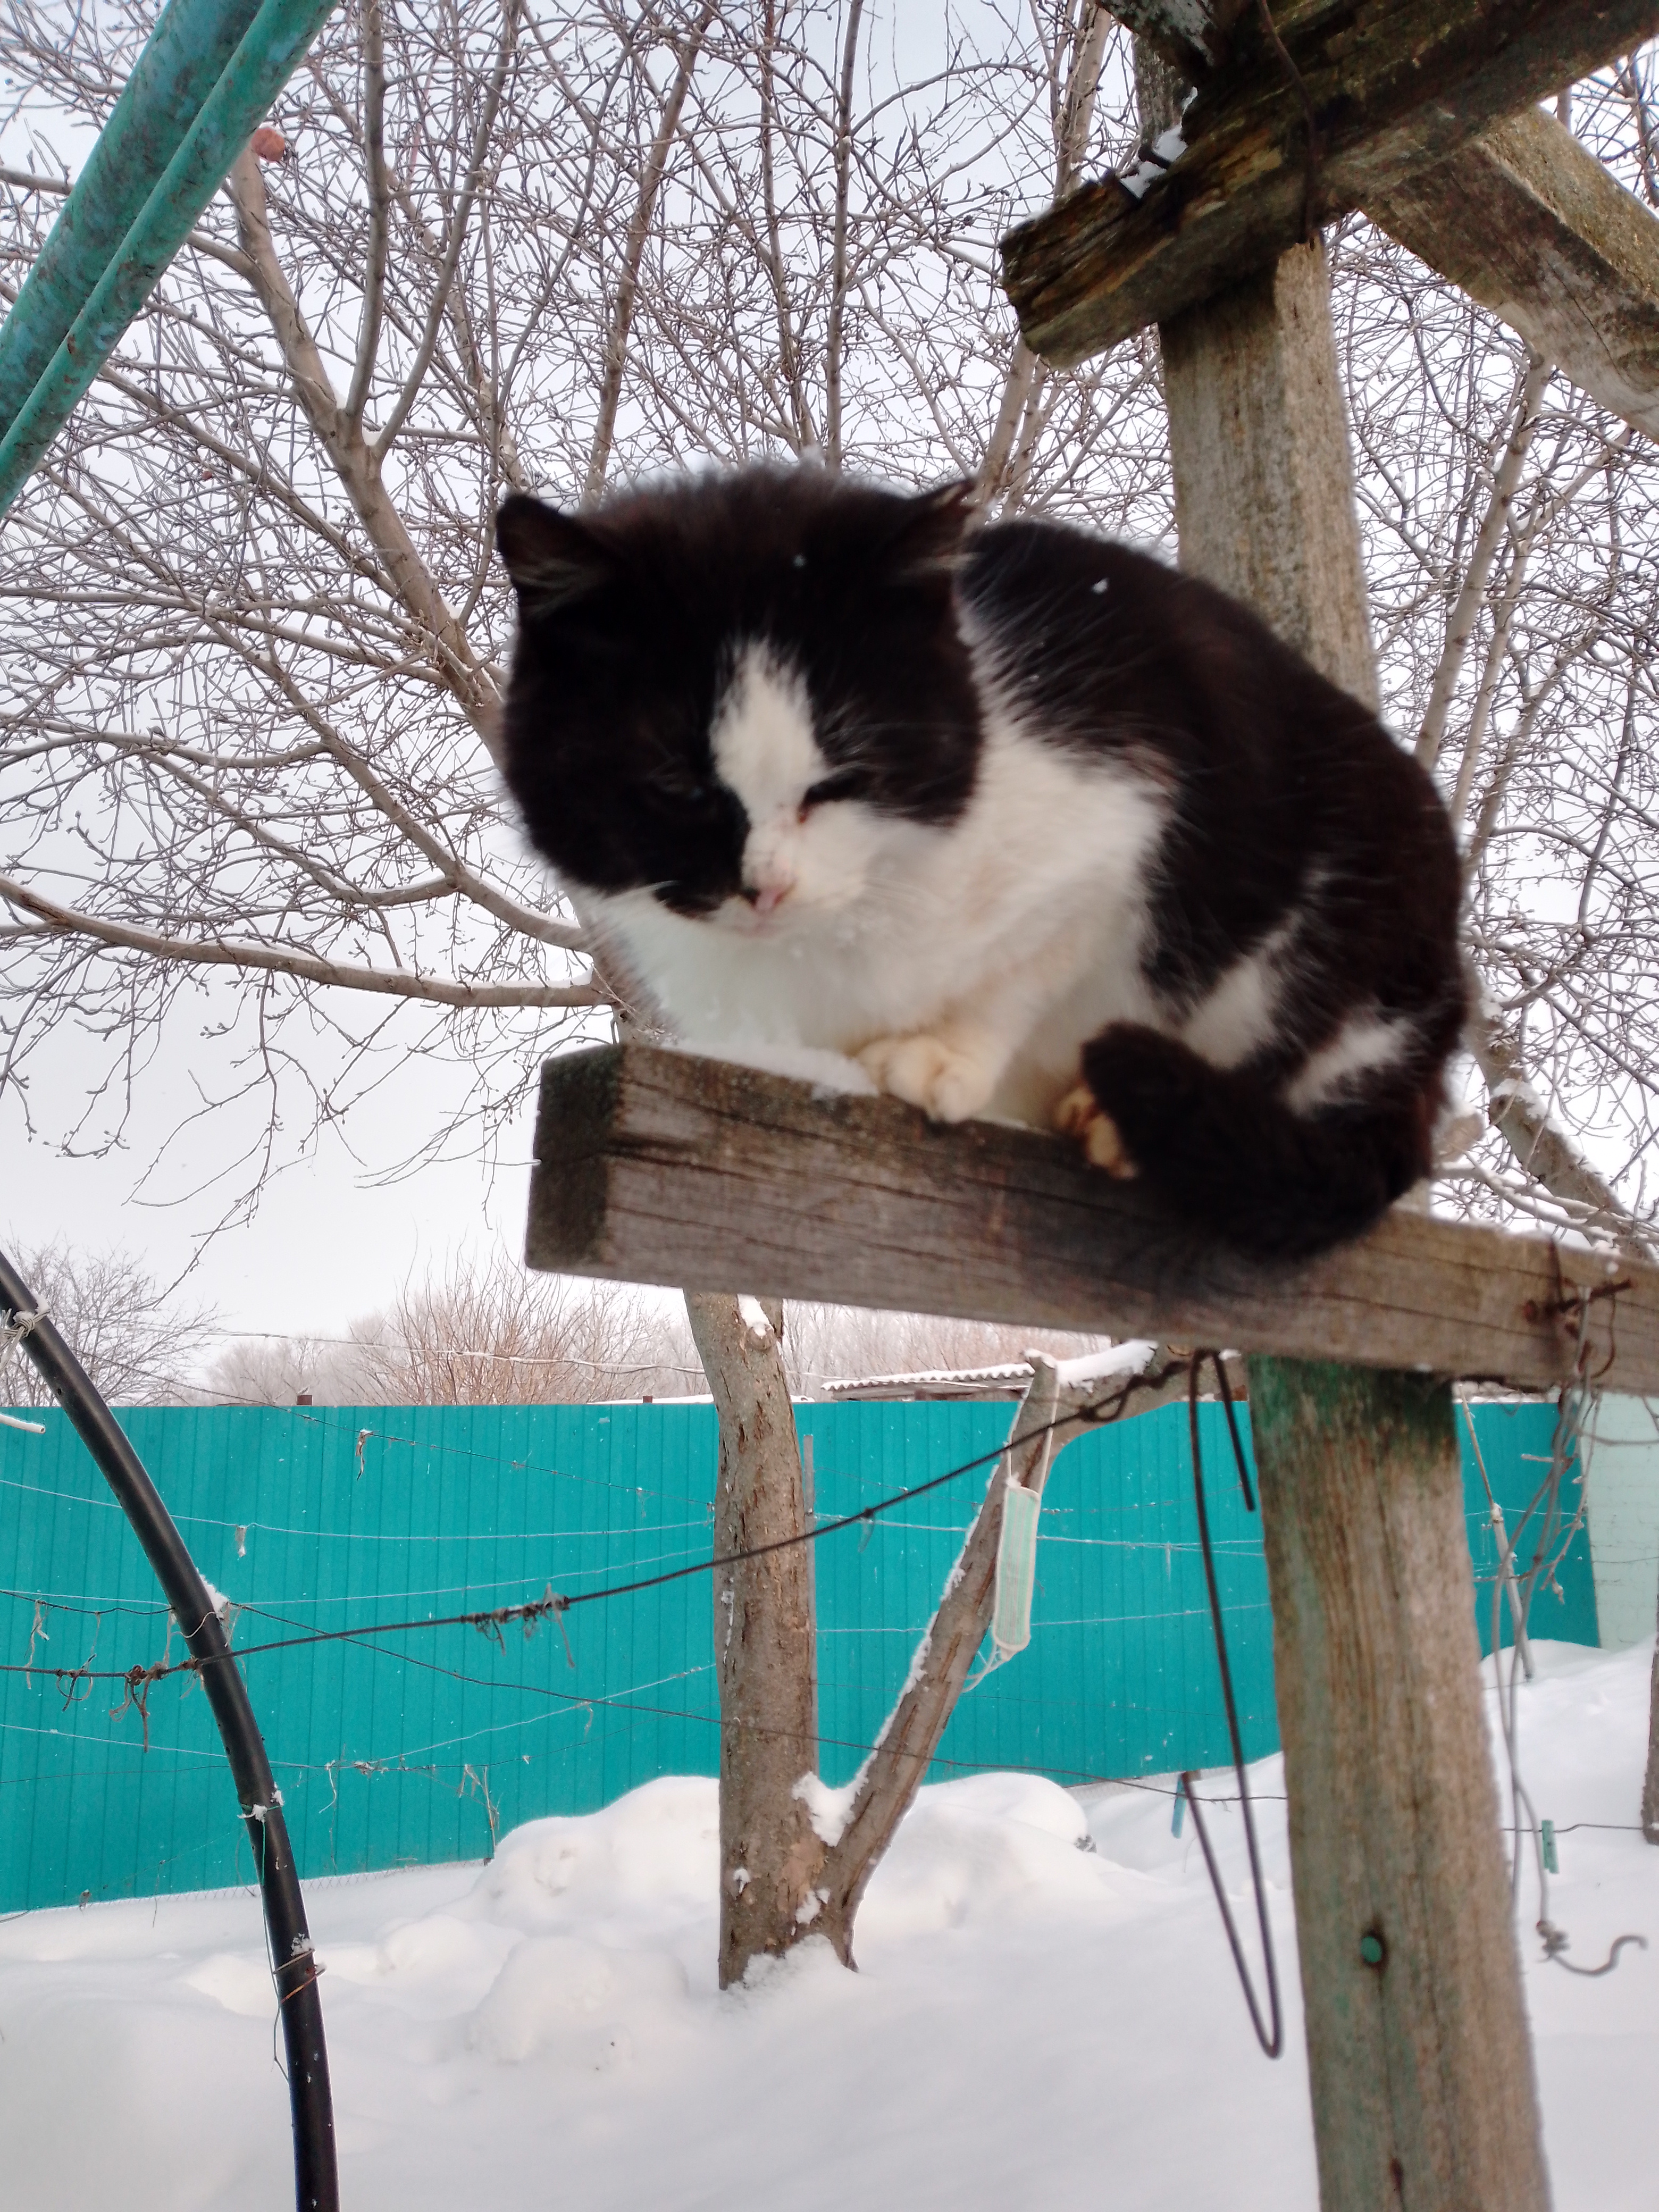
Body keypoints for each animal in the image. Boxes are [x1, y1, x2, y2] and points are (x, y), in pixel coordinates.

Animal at [494, 466, 1465, 1262]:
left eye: (843, 778)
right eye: (674, 784)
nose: (768, 888)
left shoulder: (1120, 821)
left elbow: (1024, 964)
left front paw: (940, 1051)